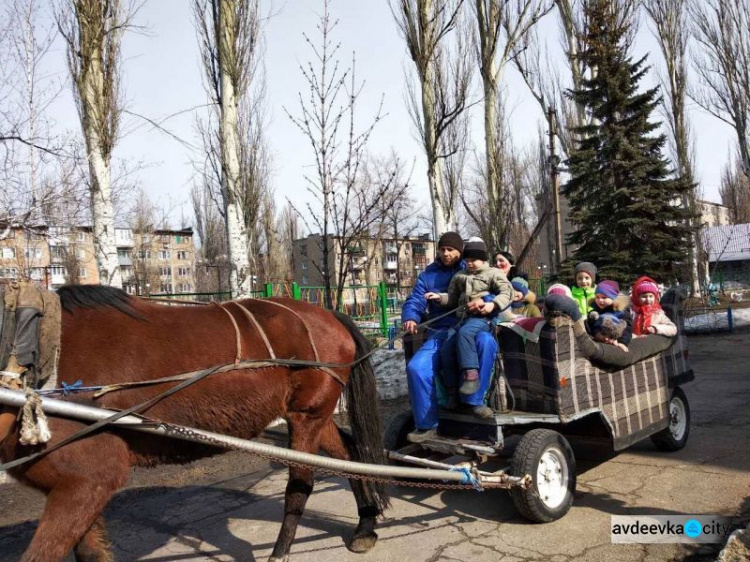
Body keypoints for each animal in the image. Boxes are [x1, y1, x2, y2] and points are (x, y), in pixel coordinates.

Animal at [0, 284, 388, 560]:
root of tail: (329, 315)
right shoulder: (77, 489)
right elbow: (91, 552)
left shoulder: (88, 479)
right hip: (313, 414)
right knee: (347, 457)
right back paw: (365, 527)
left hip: (307, 416)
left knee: (301, 483)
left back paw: (280, 552)